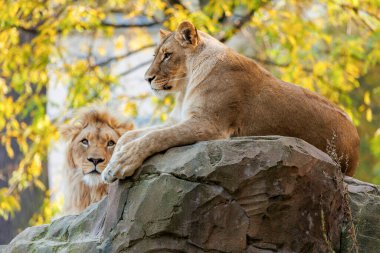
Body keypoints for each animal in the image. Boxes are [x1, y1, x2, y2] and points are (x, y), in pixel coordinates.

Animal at [101, 20, 360, 183]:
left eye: (167, 55)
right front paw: (110, 163)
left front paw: (121, 164)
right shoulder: (181, 118)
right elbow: (131, 135)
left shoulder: (210, 124)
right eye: (156, 55)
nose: (147, 79)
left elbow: (155, 137)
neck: (185, 86)